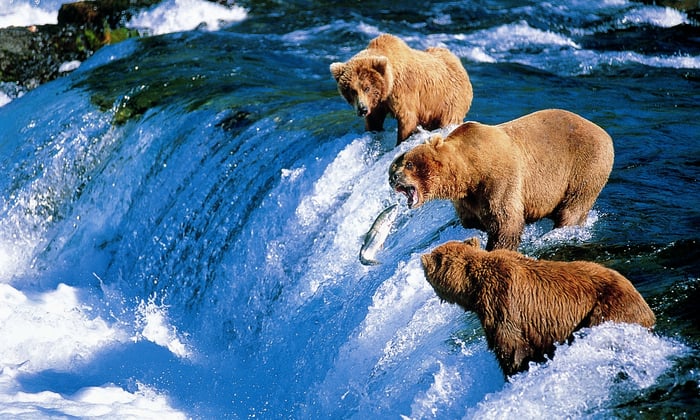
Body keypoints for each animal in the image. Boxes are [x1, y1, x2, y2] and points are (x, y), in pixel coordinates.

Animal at [330, 34, 473, 145]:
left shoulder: (403, 91)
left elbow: (407, 119)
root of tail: (459, 64)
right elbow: (374, 121)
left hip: (449, 102)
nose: (362, 109)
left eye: (367, 88)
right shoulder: (378, 104)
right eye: (352, 90)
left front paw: (400, 142)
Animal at [389, 109, 614, 251]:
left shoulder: (499, 180)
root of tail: (606, 134)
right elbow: (472, 222)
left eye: (409, 164)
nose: (392, 178)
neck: (470, 170)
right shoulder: (468, 199)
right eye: (394, 166)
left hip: (585, 168)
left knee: (572, 208)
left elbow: (506, 221)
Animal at [421, 237, 656, 377]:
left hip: (606, 311)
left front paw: (514, 372)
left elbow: (511, 349)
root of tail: (648, 312)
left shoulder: (502, 304)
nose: (421, 259)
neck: (474, 289)